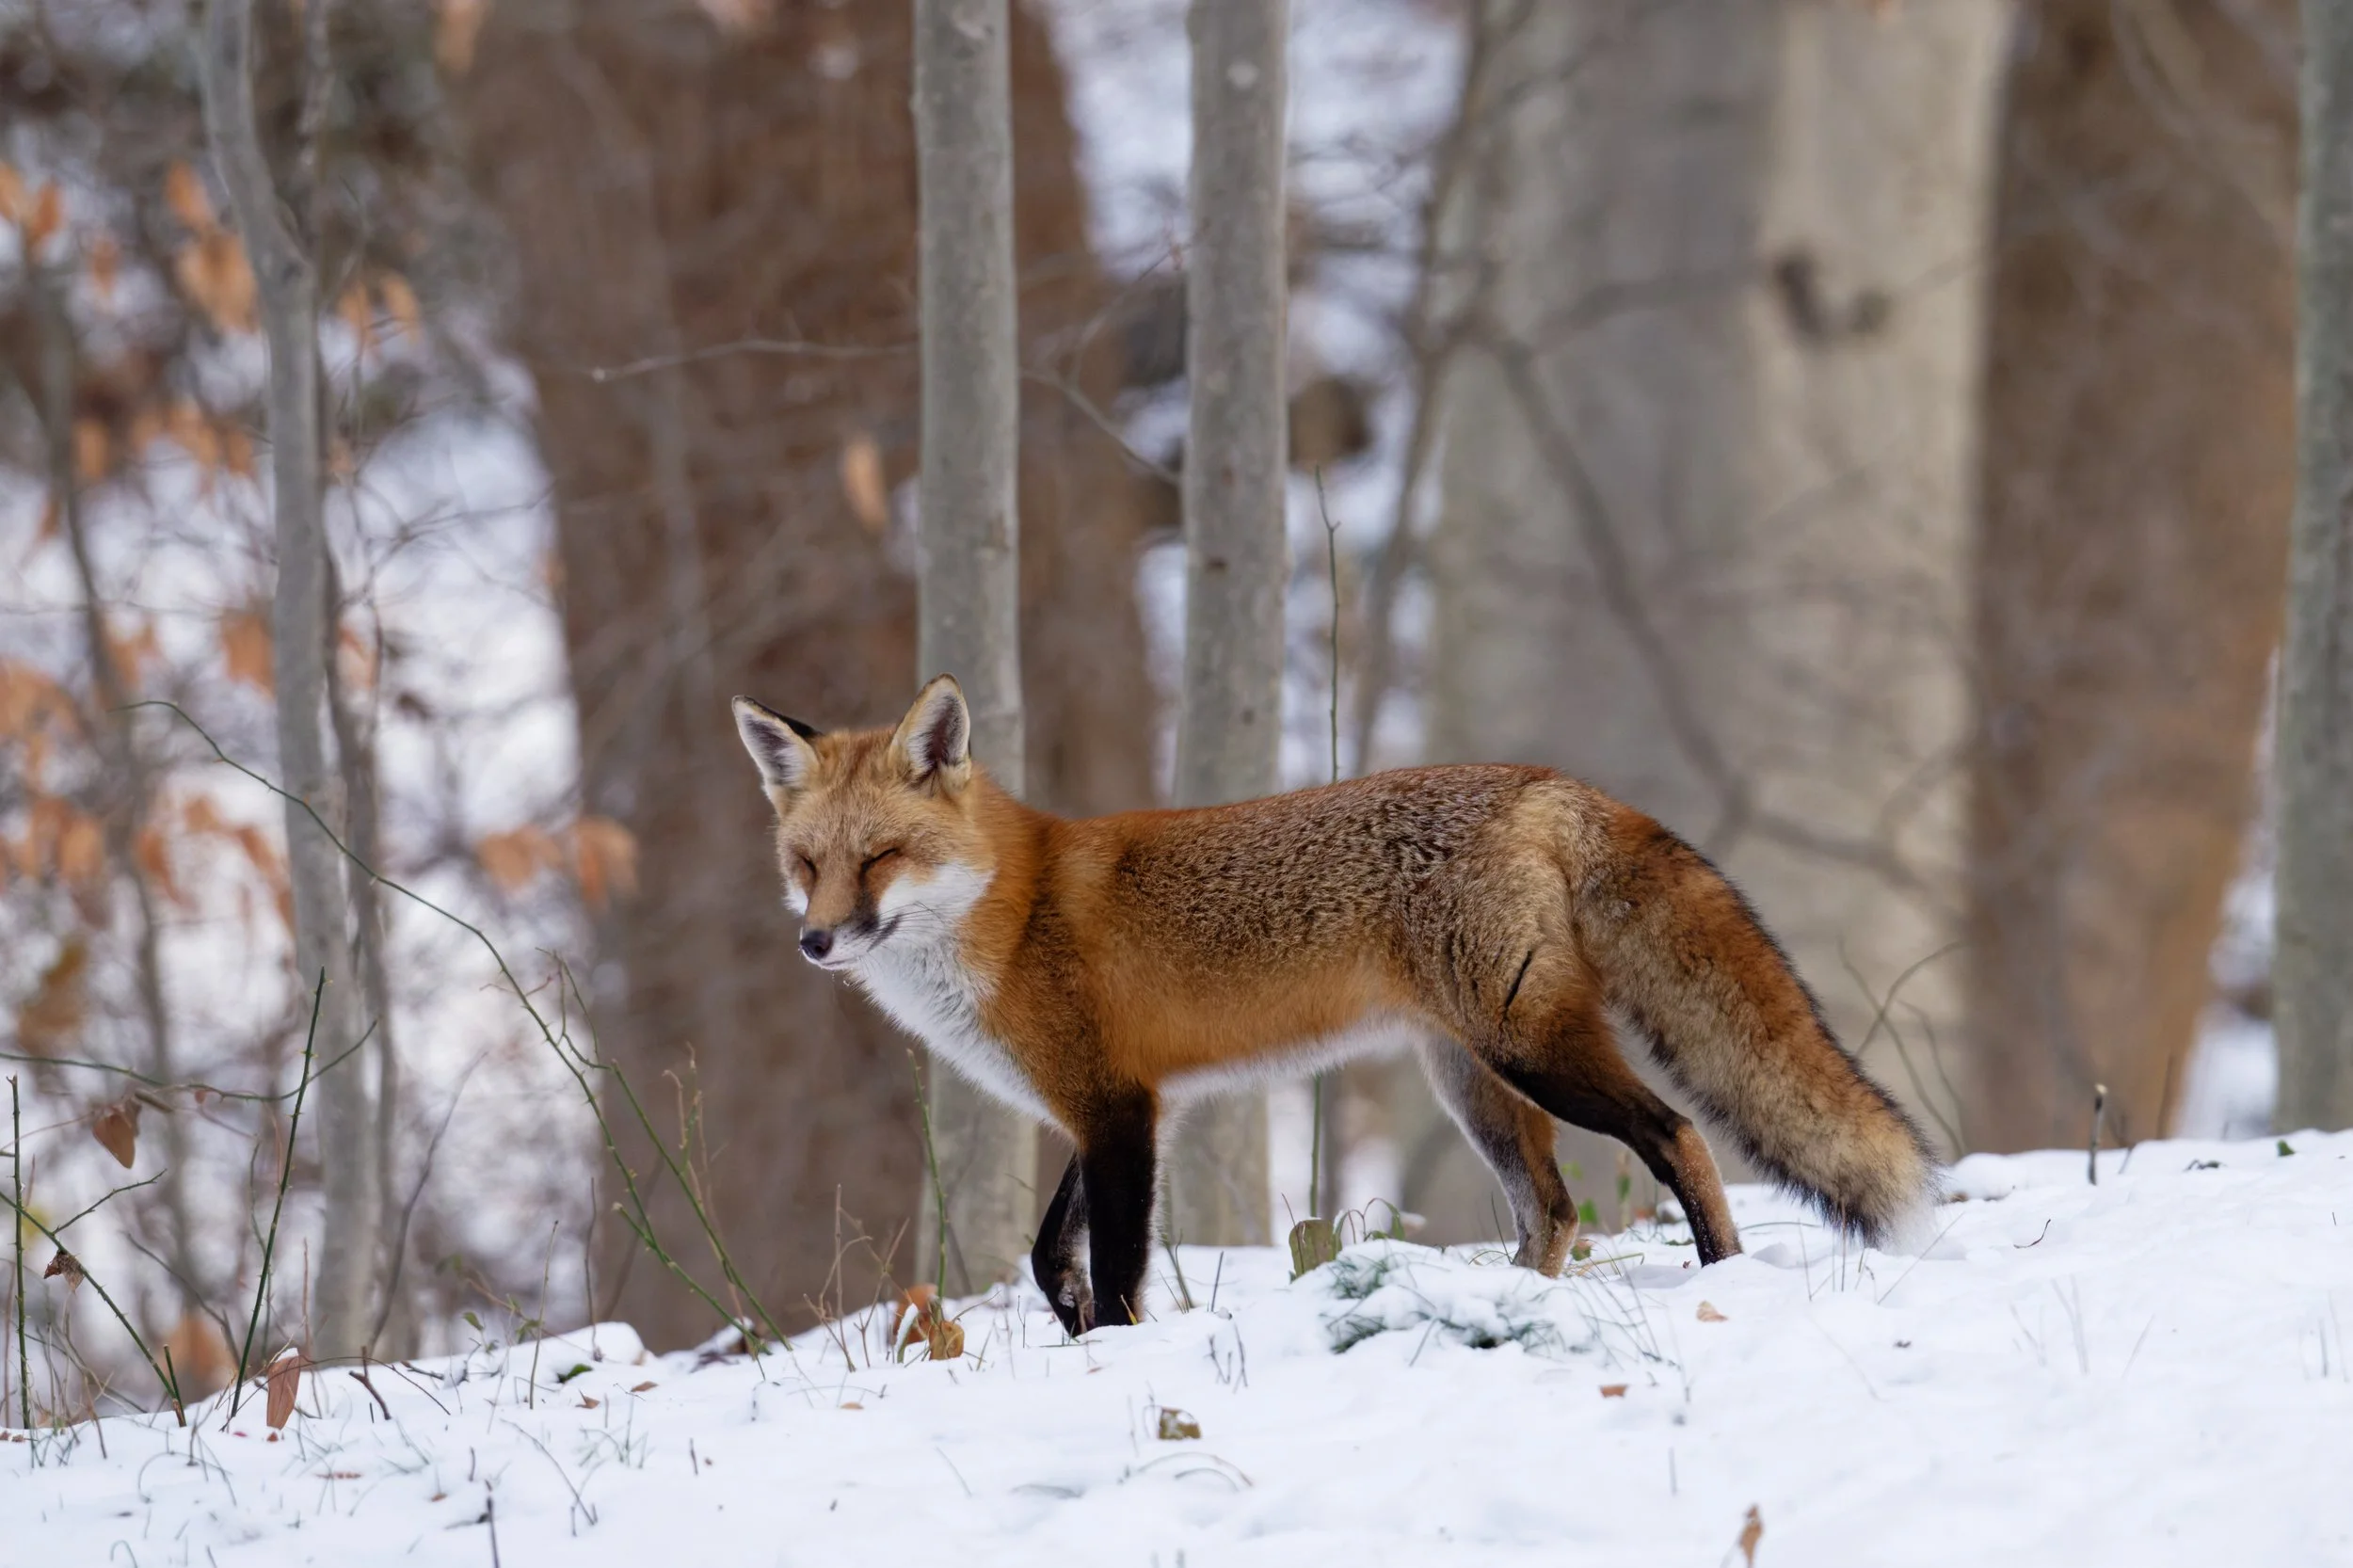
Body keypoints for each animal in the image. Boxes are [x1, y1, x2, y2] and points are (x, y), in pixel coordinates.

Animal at [733, 675, 1937, 1336]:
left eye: (879, 859)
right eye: (806, 865)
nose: (814, 942)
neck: (1010, 910)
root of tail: (1545, 780)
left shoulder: (1118, 1111)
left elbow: (1118, 1271)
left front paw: (1106, 1347)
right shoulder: (1107, 1102)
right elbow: (1044, 1254)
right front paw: (1068, 1322)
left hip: (1529, 1049)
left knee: (1675, 1131)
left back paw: (1720, 1276)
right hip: (1471, 1081)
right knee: (1550, 1209)